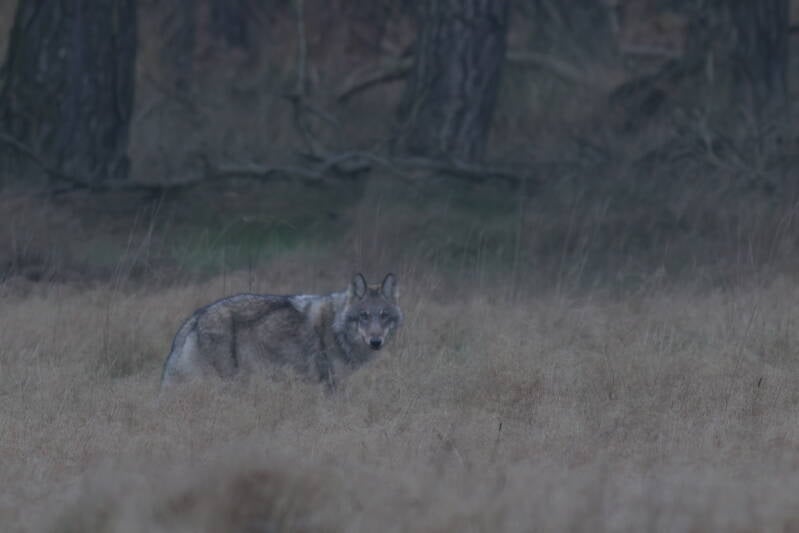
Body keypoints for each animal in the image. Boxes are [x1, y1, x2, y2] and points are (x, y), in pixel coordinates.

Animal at [160, 273, 402, 389]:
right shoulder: (328, 382)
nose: (376, 342)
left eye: (384, 316)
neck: (336, 328)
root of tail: (196, 316)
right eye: (364, 316)